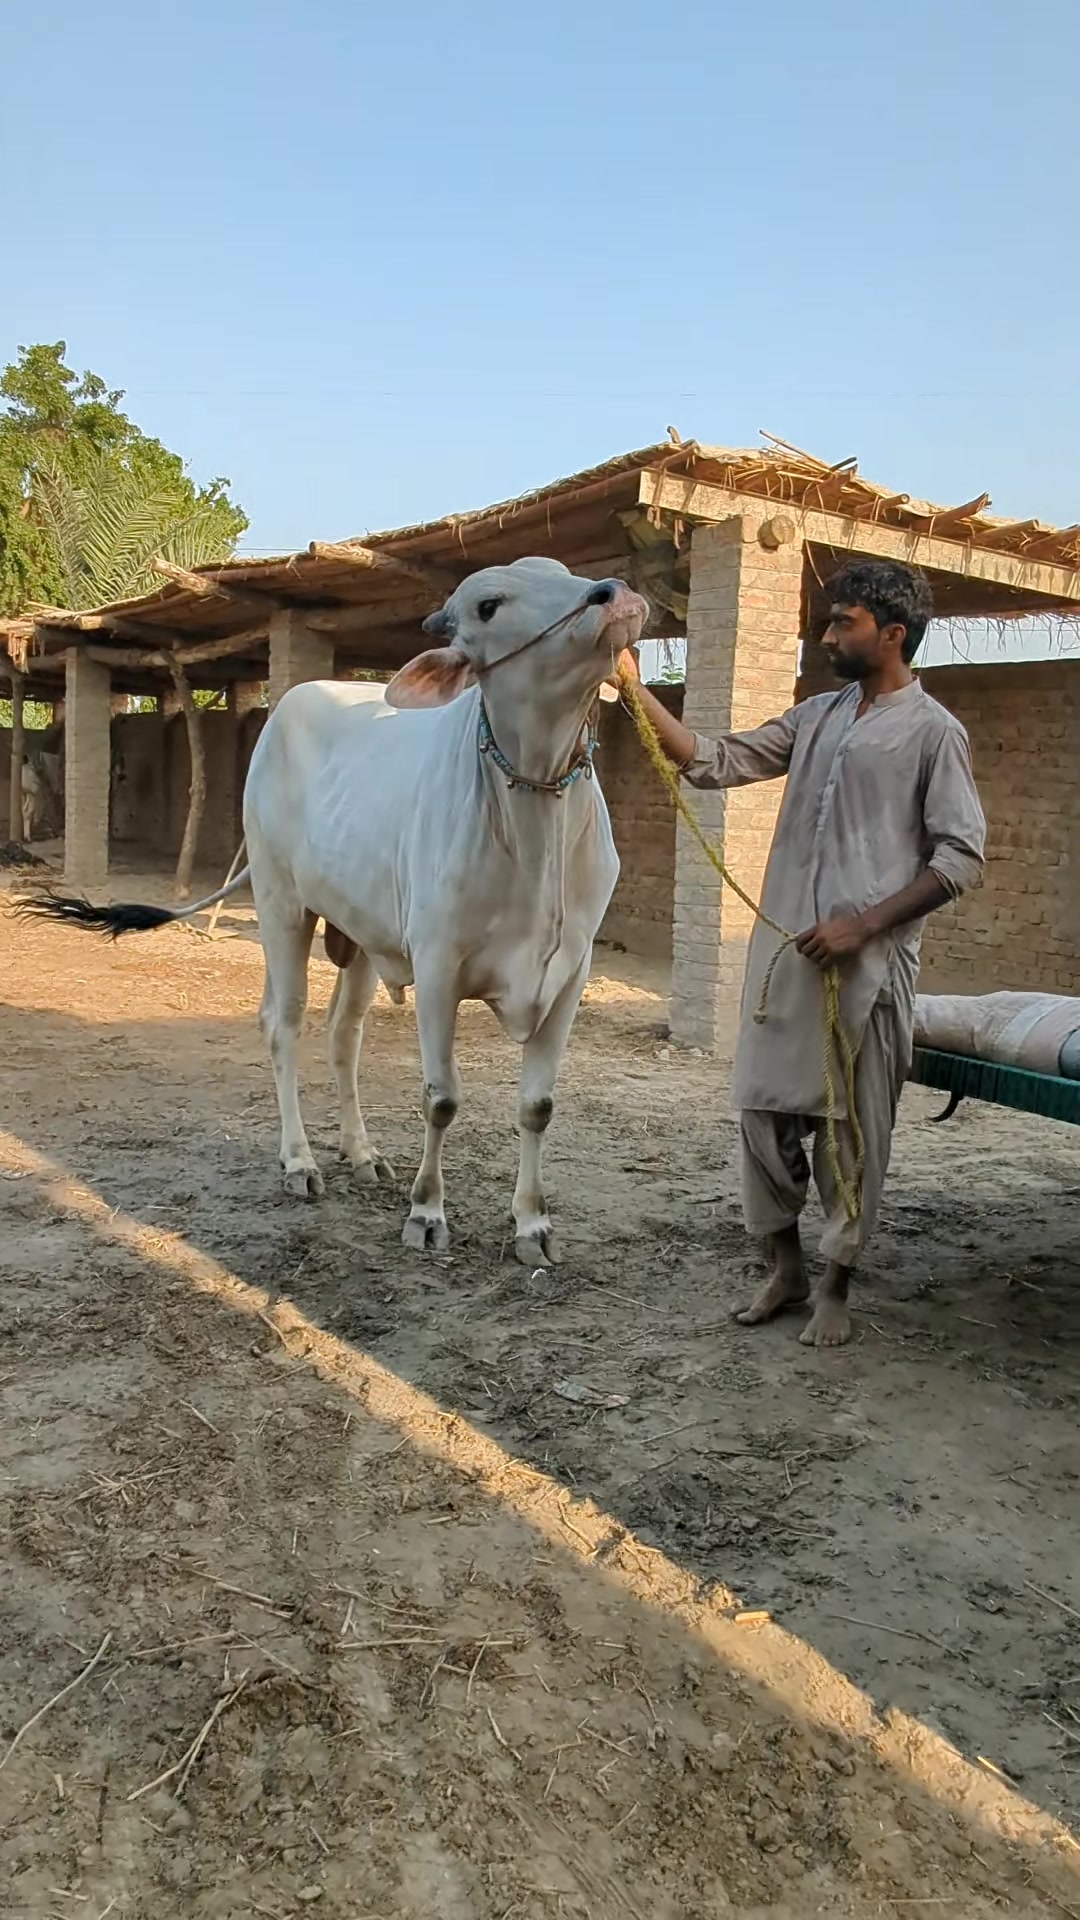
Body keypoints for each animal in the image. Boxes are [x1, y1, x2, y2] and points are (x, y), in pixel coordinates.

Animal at [23, 558, 648, 1265]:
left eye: (564, 572)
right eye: (488, 605)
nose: (614, 595)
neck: (536, 814)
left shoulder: (570, 974)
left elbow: (537, 1106)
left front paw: (533, 1226)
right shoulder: (439, 966)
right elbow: (441, 1099)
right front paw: (426, 1213)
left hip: (362, 937)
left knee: (343, 1035)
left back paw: (362, 1151)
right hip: (280, 903)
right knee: (283, 1023)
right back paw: (300, 1161)